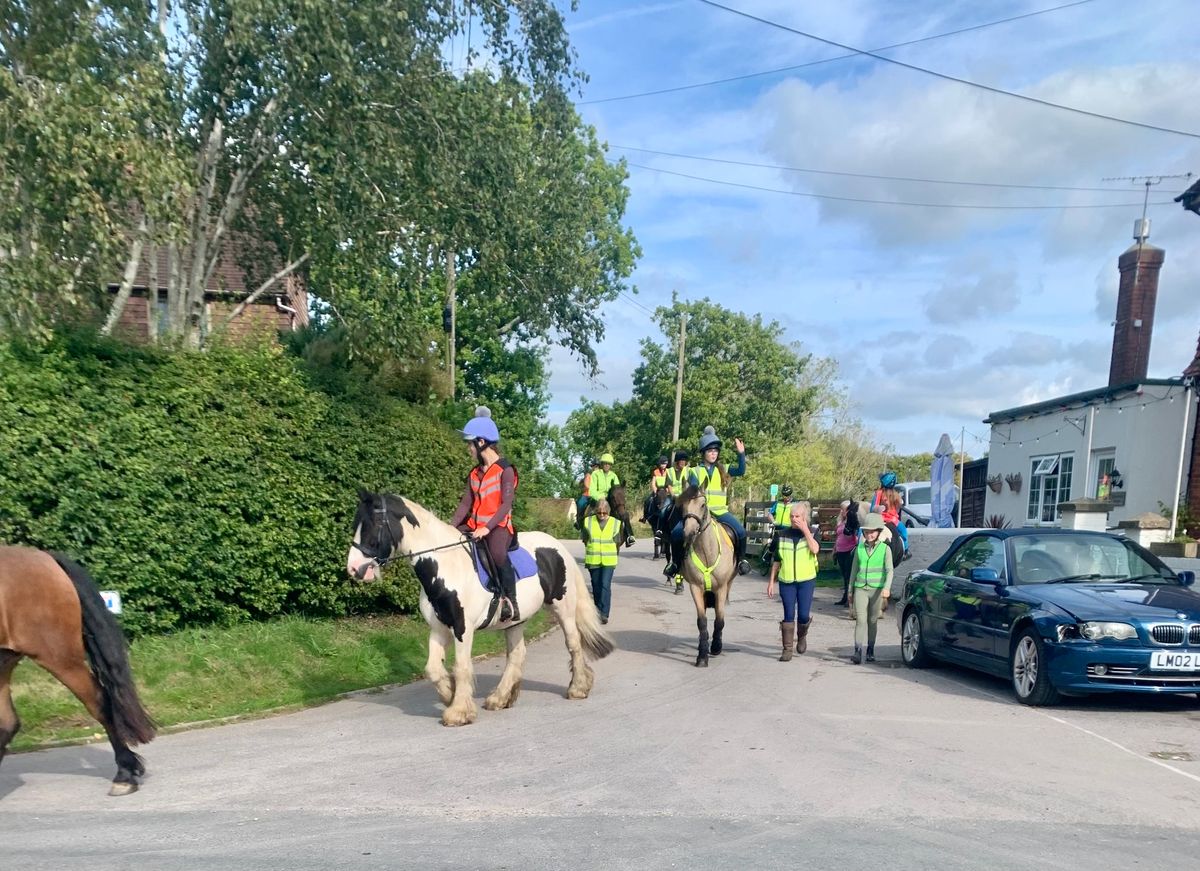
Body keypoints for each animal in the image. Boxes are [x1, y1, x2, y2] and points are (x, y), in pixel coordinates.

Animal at [345, 491, 609, 729]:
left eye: (375, 524)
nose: (355, 569)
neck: (446, 566)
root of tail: (557, 547)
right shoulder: (439, 628)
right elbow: (432, 668)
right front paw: (449, 694)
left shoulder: (463, 628)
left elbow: (461, 667)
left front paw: (458, 712)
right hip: (516, 620)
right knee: (517, 654)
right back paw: (499, 698)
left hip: (563, 608)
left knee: (573, 644)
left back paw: (578, 688)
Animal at [681, 484, 734, 667]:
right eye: (681, 505)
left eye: (702, 505)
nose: (689, 533)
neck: (706, 551)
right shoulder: (696, 587)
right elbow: (702, 622)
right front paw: (702, 656)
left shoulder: (721, 588)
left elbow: (719, 619)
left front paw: (716, 646)